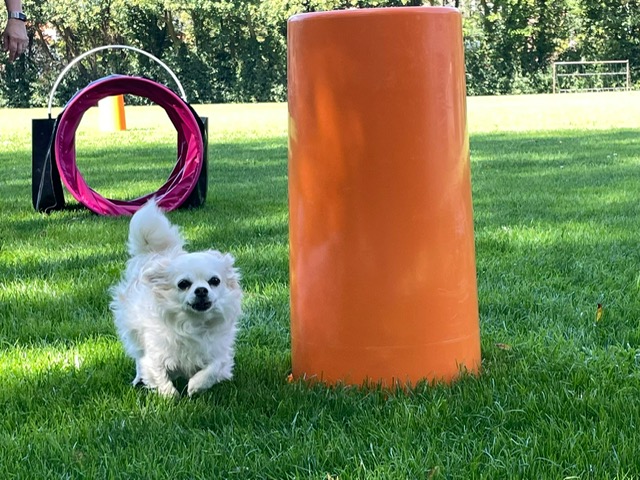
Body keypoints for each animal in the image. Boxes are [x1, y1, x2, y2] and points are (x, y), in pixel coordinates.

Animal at [110, 199, 242, 397]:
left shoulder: (219, 353)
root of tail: (155, 253)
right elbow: (157, 374)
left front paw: (195, 386)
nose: (201, 290)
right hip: (134, 333)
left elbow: (213, 368)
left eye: (215, 281)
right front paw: (170, 396)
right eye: (183, 284)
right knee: (138, 358)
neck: (194, 323)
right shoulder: (154, 355)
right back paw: (138, 379)